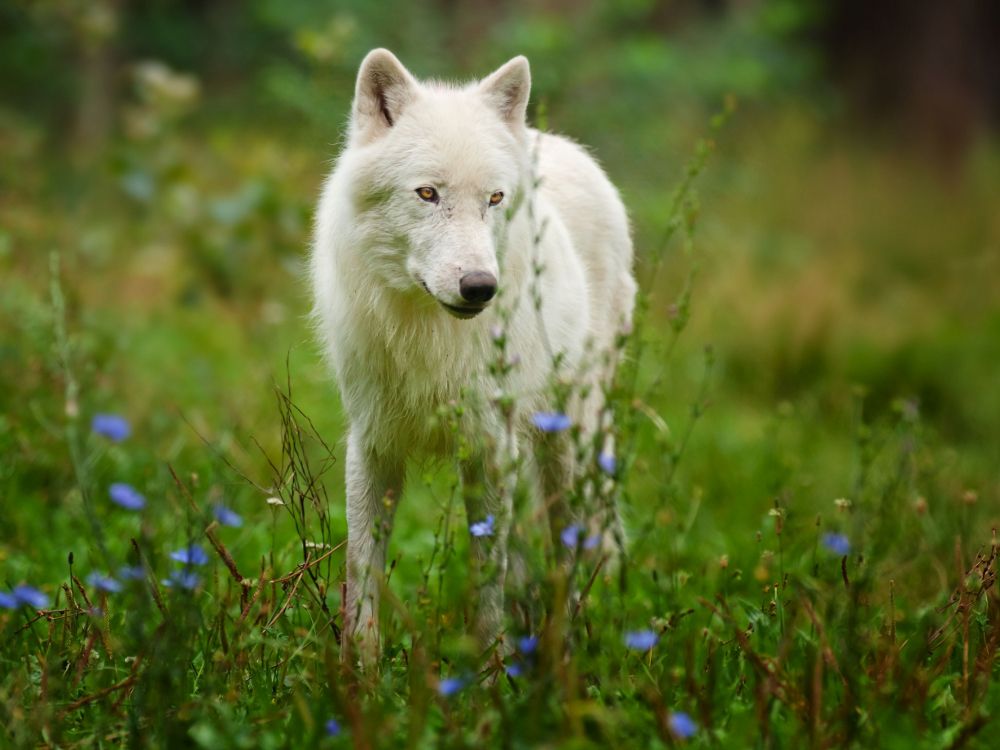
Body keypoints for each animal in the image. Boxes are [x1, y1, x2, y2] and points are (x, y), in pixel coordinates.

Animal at [310, 49, 636, 661]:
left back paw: (572, 639)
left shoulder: (490, 446)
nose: (480, 287)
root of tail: (553, 140)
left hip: (569, 445)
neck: (428, 335)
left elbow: (489, 575)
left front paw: (490, 669)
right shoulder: (373, 443)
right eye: (428, 194)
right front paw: (356, 673)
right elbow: (362, 569)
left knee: (572, 546)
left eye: (494, 199)